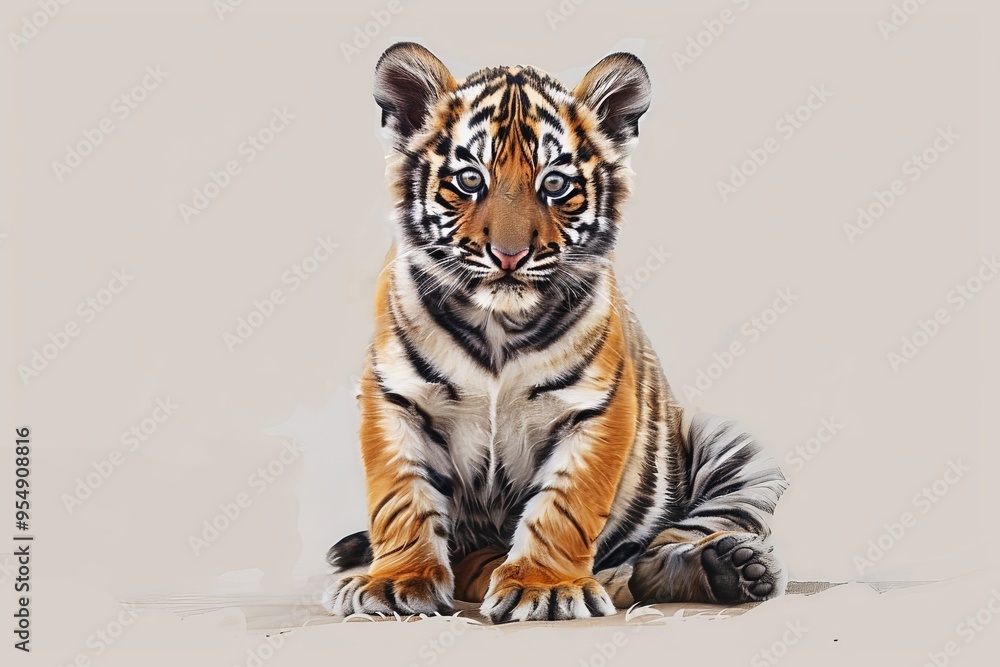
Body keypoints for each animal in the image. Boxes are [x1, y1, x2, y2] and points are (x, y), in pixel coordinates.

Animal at [322, 43, 789, 623]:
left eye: (555, 184)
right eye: (470, 180)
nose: (508, 255)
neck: (497, 325)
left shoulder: (596, 409)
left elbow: (564, 505)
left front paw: (542, 587)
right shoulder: (395, 398)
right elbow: (401, 497)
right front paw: (396, 582)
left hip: (734, 450)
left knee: (654, 557)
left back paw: (730, 567)